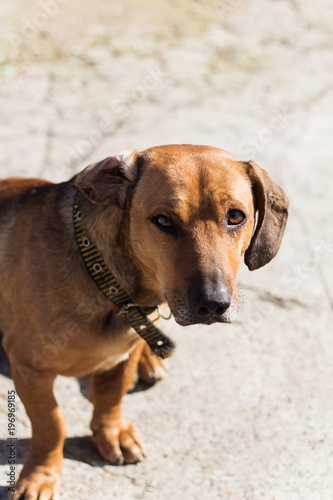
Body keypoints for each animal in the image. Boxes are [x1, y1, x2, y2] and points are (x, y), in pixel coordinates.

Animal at [0, 144, 286, 496]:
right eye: (163, 220)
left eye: (236, 216)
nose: (213, 304)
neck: (110, 285)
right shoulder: (31, 371)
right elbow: (52, 426)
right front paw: (41, 476)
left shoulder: (123, 353)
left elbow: (111, 396)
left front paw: (111, 432)